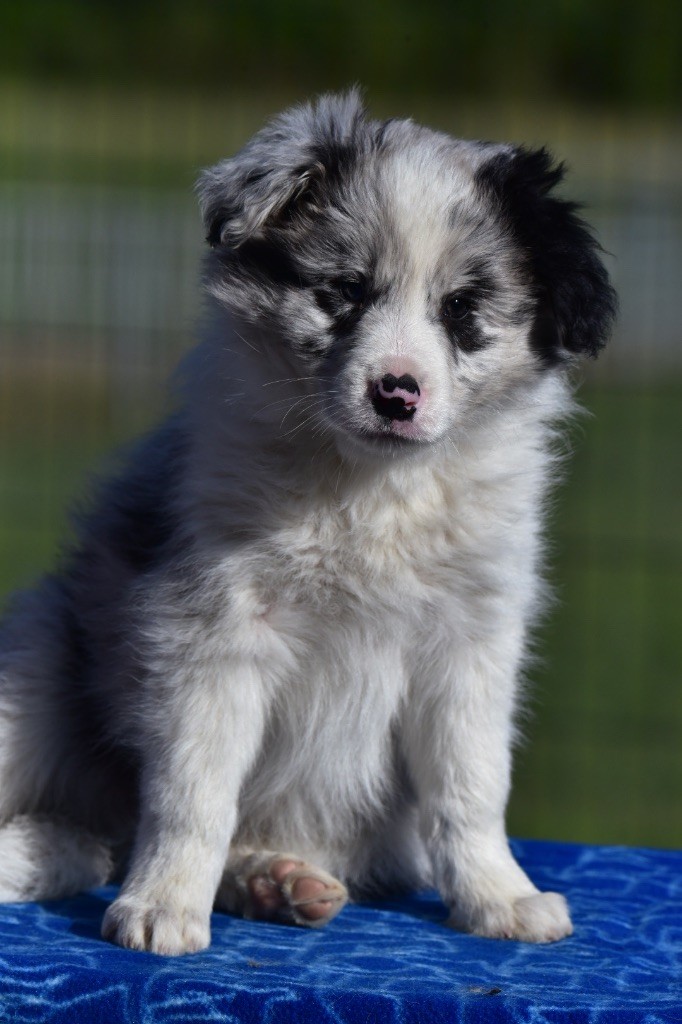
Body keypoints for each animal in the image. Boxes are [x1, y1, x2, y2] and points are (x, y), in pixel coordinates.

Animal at [0, 92, 614, 954]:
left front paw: (500, 898)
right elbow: (195, 790)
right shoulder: (212, 633)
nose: (397, 393)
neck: (368, 488)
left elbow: (472, 787)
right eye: (345, 290)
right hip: (33, 670)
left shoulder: (471, 643)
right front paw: (162, 906)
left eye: (461, 309)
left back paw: (270, 880)